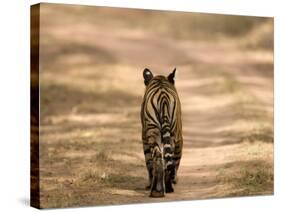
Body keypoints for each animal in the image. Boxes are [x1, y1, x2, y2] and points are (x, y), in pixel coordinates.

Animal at [139, 68, 182, 197]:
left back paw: (157, 190)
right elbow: (176, 161)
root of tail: (163, 96)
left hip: (153, 131)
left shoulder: (144, 138)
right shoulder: (179, 138)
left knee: (158, 156)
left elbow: (149, 162)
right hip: (168, 134)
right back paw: (166, 187)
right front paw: (174, 179)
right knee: (166, 158)